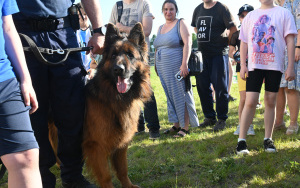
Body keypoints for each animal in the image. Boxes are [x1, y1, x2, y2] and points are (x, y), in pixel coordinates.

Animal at [82, 22, 151, 187]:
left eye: (130, 55)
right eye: (113, 55)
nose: (118, 69)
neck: (114, 99)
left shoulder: (121, 144)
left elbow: (122, 169)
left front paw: (129, 186)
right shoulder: (96, 147)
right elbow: (106, 176)